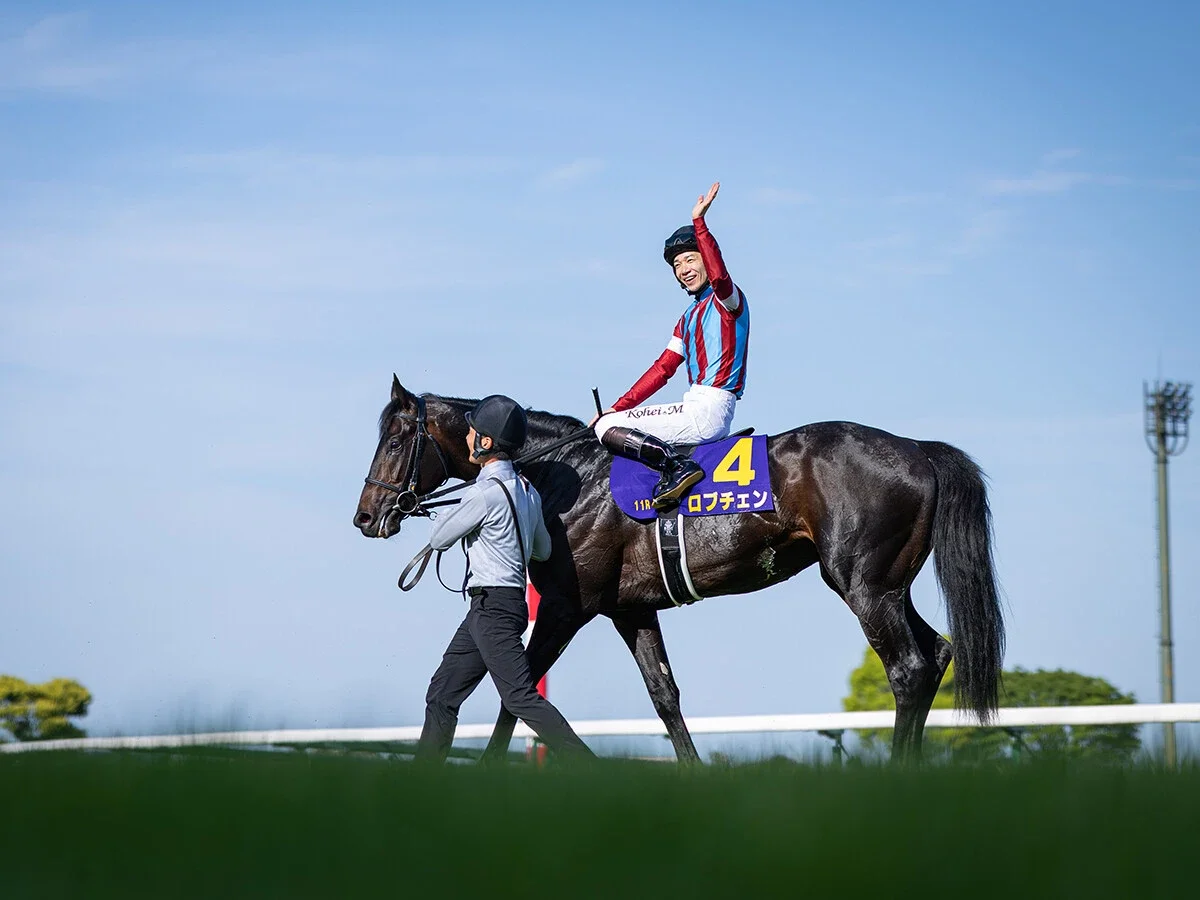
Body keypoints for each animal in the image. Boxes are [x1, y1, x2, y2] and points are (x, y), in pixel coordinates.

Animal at [354, 376, 1004, 763]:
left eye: (395, 441)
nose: (365, 516)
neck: (566, 476)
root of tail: (918, 449)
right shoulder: (631, 609)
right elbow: (664, 696)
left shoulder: (566, 609)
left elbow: (518, 697)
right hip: (889, 585)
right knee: (937, 655)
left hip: (862, 584)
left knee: (909, 669)